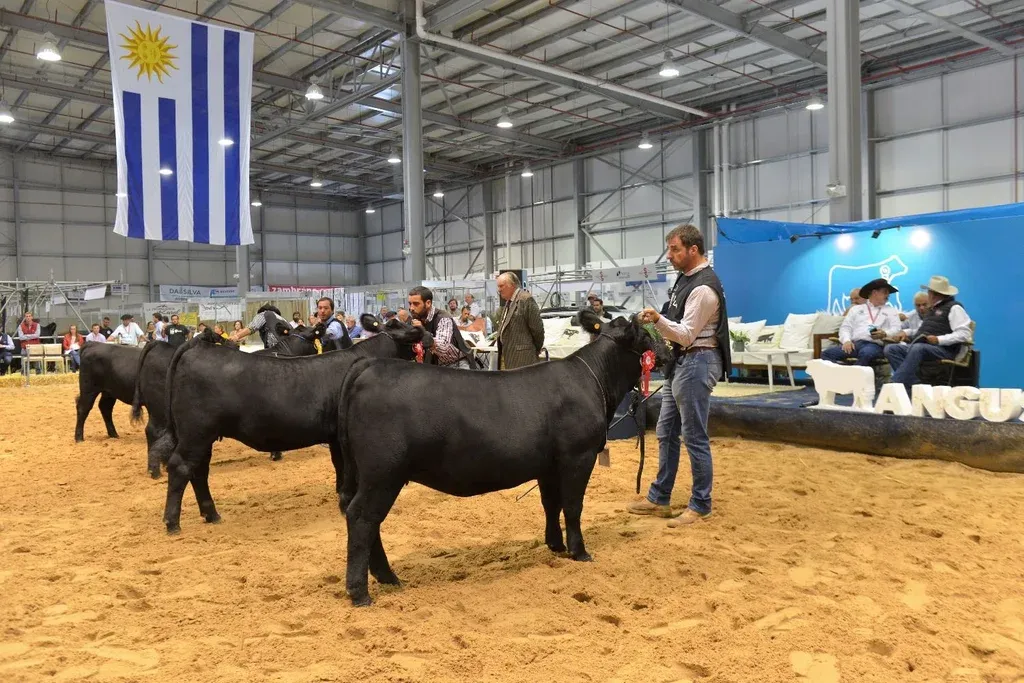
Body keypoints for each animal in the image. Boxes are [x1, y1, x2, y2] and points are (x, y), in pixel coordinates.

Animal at [158, 315, 424, 534]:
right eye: (400, 326)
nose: (423, 331)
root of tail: (199, 346)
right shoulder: (342, 436)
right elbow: (346, 468)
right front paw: (344, 502)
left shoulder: (334, 437)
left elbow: (340, 467)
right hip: (196, 432)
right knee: (181, 467)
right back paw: (172, 522)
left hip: (202, 436)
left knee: (198, 470)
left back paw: (211, 514)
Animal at [334, 311, 671, 606]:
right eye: (646, 336)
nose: (670, 351)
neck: (593, 380)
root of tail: (369, 366)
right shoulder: (578, 456)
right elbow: (573, 505)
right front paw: (579, 551)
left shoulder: (549, 465)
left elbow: (551, 504)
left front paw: (556, 545)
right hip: (383, 473)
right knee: (362, 517)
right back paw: (361, 592)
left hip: (369, 474)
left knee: (365, 518)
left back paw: (388, 577)